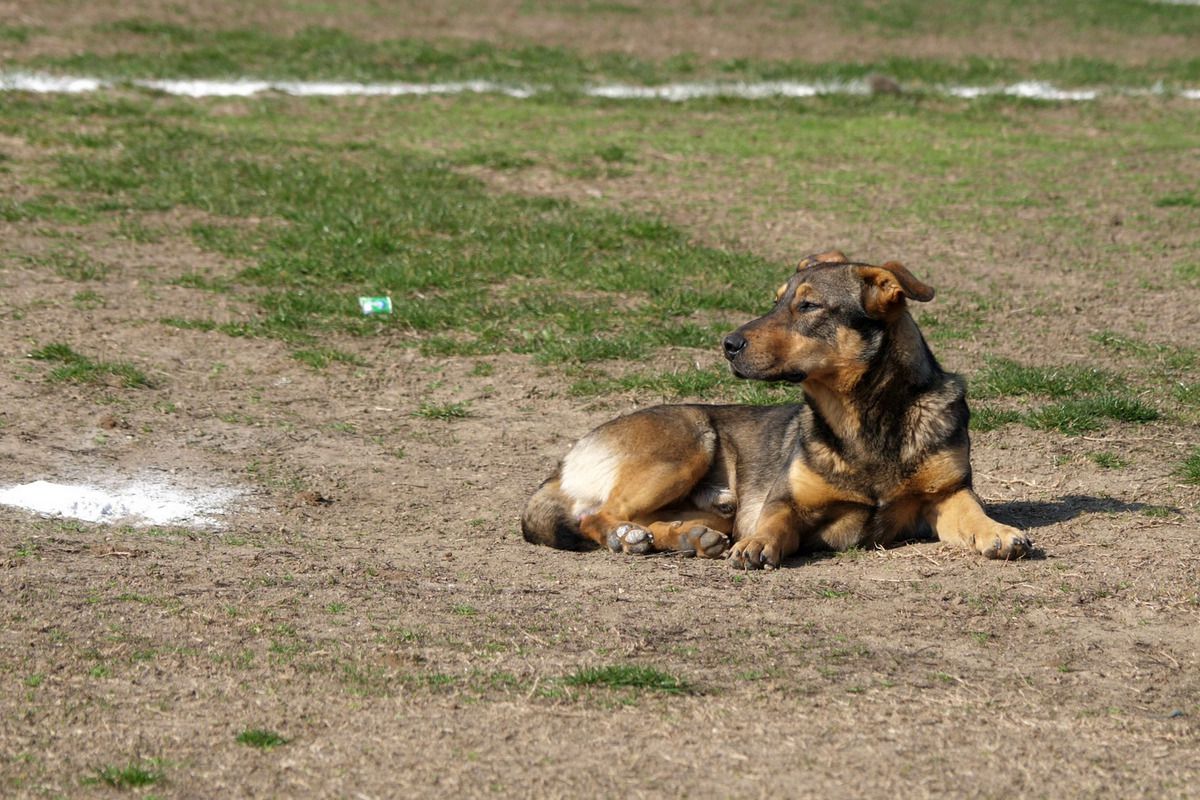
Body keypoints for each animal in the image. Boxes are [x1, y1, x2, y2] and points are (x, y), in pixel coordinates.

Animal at [523, 250, 1032, 568]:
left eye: (807, 306)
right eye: (776, 301)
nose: (727, 344)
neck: (862, 419)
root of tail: (565, 463)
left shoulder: (947, 495)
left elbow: (972, 513)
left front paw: (999, 531)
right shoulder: (785, 501)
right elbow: (775, 523)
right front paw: (758, 544)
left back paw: (687, 537)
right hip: (687, 441)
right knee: (594, 516)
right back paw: (626, 538)